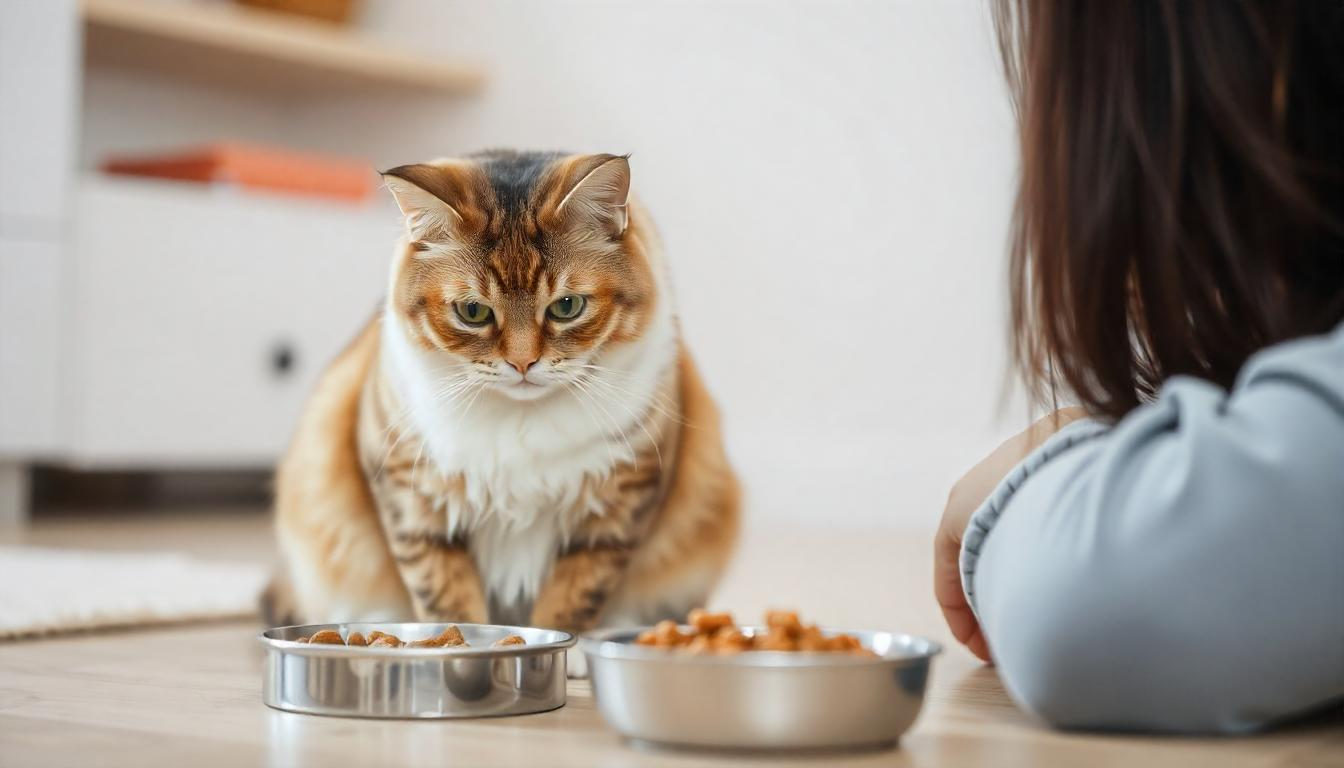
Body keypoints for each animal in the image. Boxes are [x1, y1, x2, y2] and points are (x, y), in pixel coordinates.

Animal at [263, 148, 741, 642]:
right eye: (473, 312)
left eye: (566, 307)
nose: (523, 363)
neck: (520, 422)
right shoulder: (413, 502)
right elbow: (446, 598)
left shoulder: (618, 507)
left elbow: (574, 597)